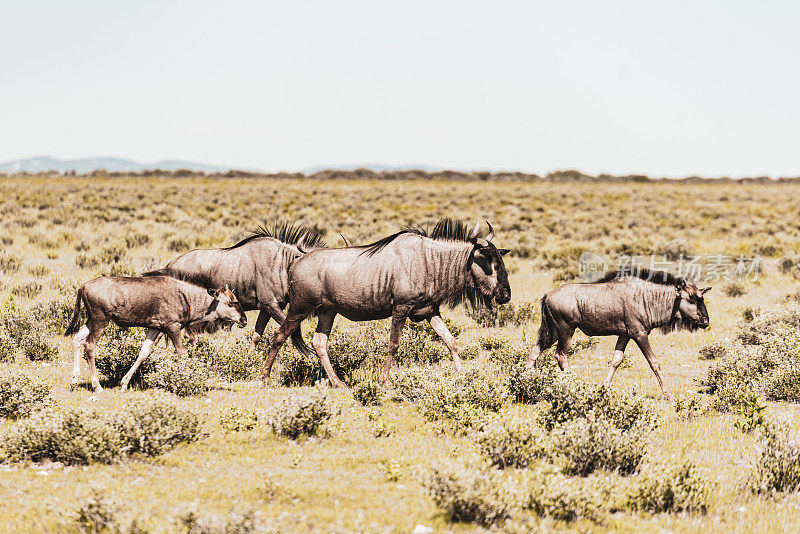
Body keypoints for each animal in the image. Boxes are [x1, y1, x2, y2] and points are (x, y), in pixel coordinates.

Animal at [64, 276, 245, 394]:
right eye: (230, 303)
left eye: (236, 300)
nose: (244, 319)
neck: (185, 297)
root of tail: (83, 286)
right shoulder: (173, 327)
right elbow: (182, 353)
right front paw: (188, 380)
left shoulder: (154, 328)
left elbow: (143, 353)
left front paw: (124, 383)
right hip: (100, 321)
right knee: (89, 345)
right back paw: (97, 386)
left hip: (92, 321)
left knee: (77, 337)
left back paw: (74, 381)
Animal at [145, 224, 326, 354]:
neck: (283, 264)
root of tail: (170, 265)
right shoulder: (271, 306)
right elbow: (294, 330)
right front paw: (308, 354)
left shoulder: (268, 308)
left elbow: (256, 335)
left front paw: (250, 357)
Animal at [262, 219, 512, 390]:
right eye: (492, 265)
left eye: (501, 262)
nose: (506, 296)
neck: (429, 261)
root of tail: (295, 262)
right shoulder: (401, 308)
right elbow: (393, 344)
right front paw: (386, 380)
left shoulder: (430, 311)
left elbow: (450, 341)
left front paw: (462, 374)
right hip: (300, 308)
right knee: (279, 336)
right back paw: (265, 377)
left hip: (327, 311)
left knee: (319, 342)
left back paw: (338, 382)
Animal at [528, 270, 708, 400]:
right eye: (691, 299)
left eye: (702, 299)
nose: (706, 321)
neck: (648, 298)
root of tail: (548, 295)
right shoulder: (639, 334)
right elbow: (654, 363)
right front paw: (668, 395)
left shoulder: (625, 335)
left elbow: (616, 360)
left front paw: (605, 387)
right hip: (566, 330)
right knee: (561, 355)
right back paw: (574, 384)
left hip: (553, 333)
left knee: (535, 349)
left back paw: (526, 380)